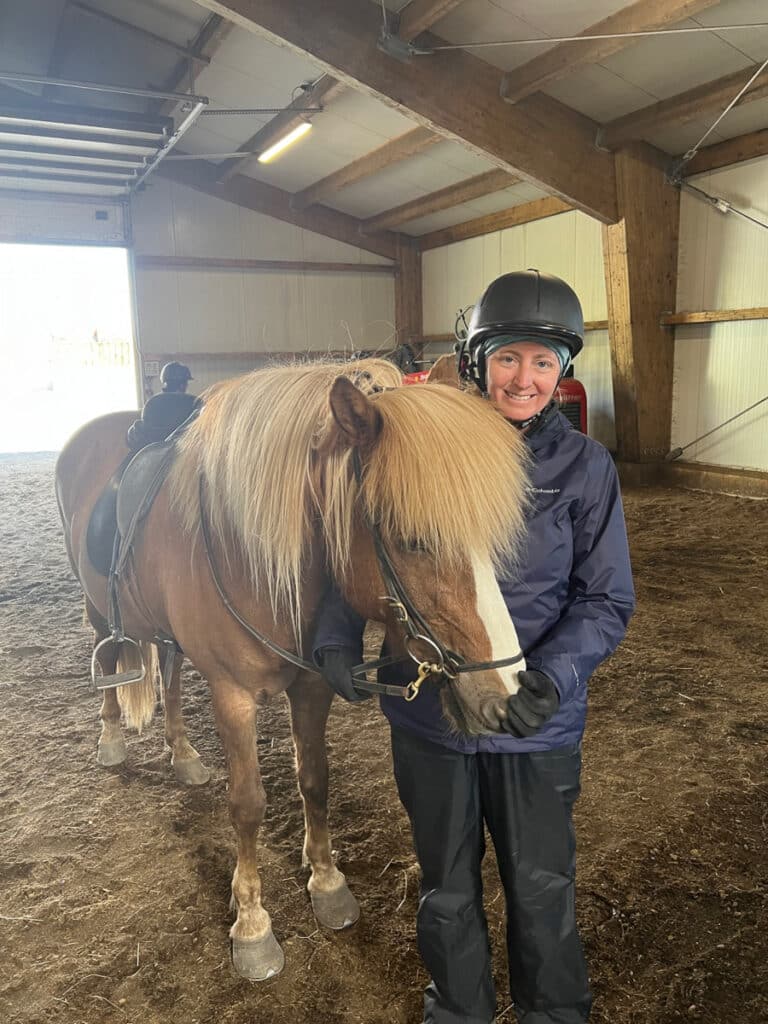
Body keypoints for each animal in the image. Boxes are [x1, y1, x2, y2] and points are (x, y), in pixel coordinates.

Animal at [55, 356, 536, 978]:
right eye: (412, 540)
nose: (506, 693)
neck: (250, 558)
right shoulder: (232, 696)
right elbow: (248, 804)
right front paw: (252, 924)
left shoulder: (311, 685)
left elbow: (314, 779)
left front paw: (327, 882)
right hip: (98, 610)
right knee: (111, 657)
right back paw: (112, 738)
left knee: (172, 667)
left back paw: (183, 753)